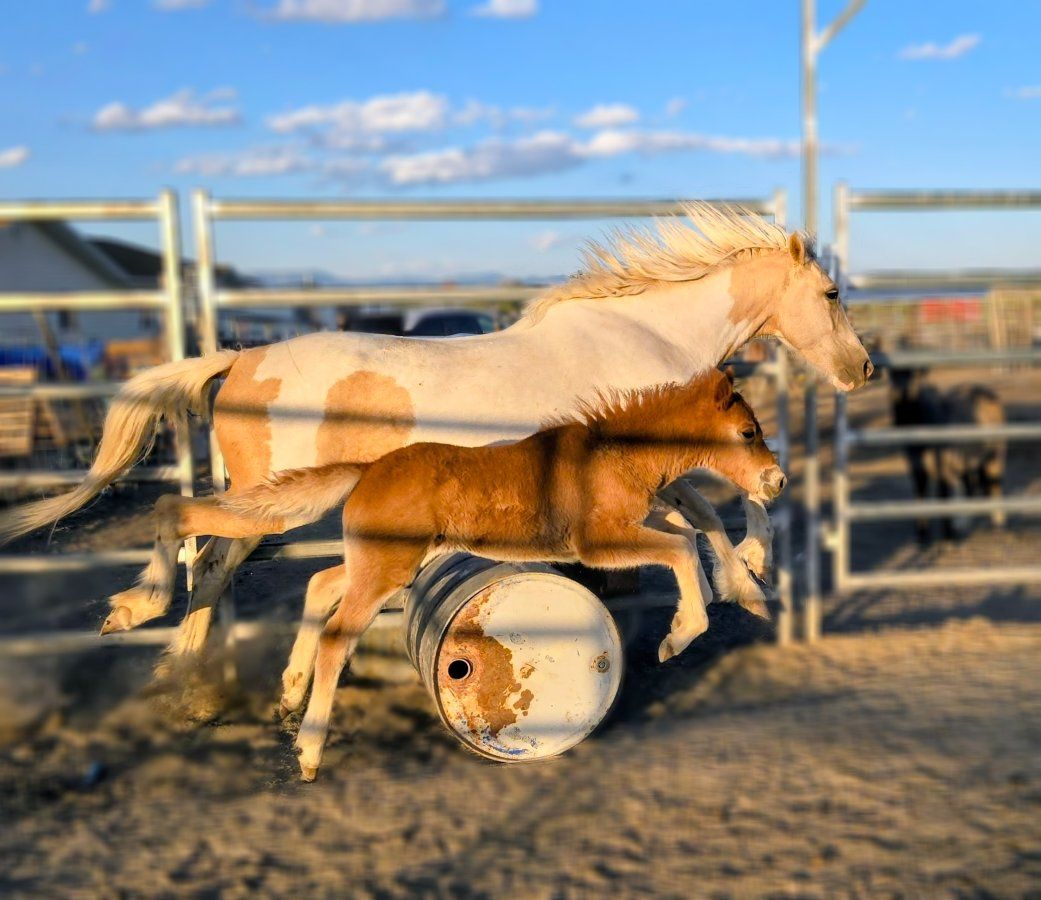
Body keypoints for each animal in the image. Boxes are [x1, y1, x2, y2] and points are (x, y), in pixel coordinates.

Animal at [0, 203, 871, 667]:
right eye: (830, 292)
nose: (862, 368)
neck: (640, 338)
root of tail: (240, 358)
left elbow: (704, 514)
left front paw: (744, 585)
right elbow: (712, 510)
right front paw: (749, 577)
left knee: (205, 556)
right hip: (268, 500)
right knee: (203, 555)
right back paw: (162, 650)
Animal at [215, 368, 783, 780]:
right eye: (748, 432)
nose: (776, 481)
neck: (612, 455)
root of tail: (368, 469)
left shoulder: (633, 524)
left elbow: (693, 528)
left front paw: (736, 595)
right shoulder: (597, 543)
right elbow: (683, 544)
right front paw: (679, 635)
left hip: (381, 562)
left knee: (321, 585)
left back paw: (289, 695)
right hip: (384, 570)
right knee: (337, 637)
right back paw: (310, 753)